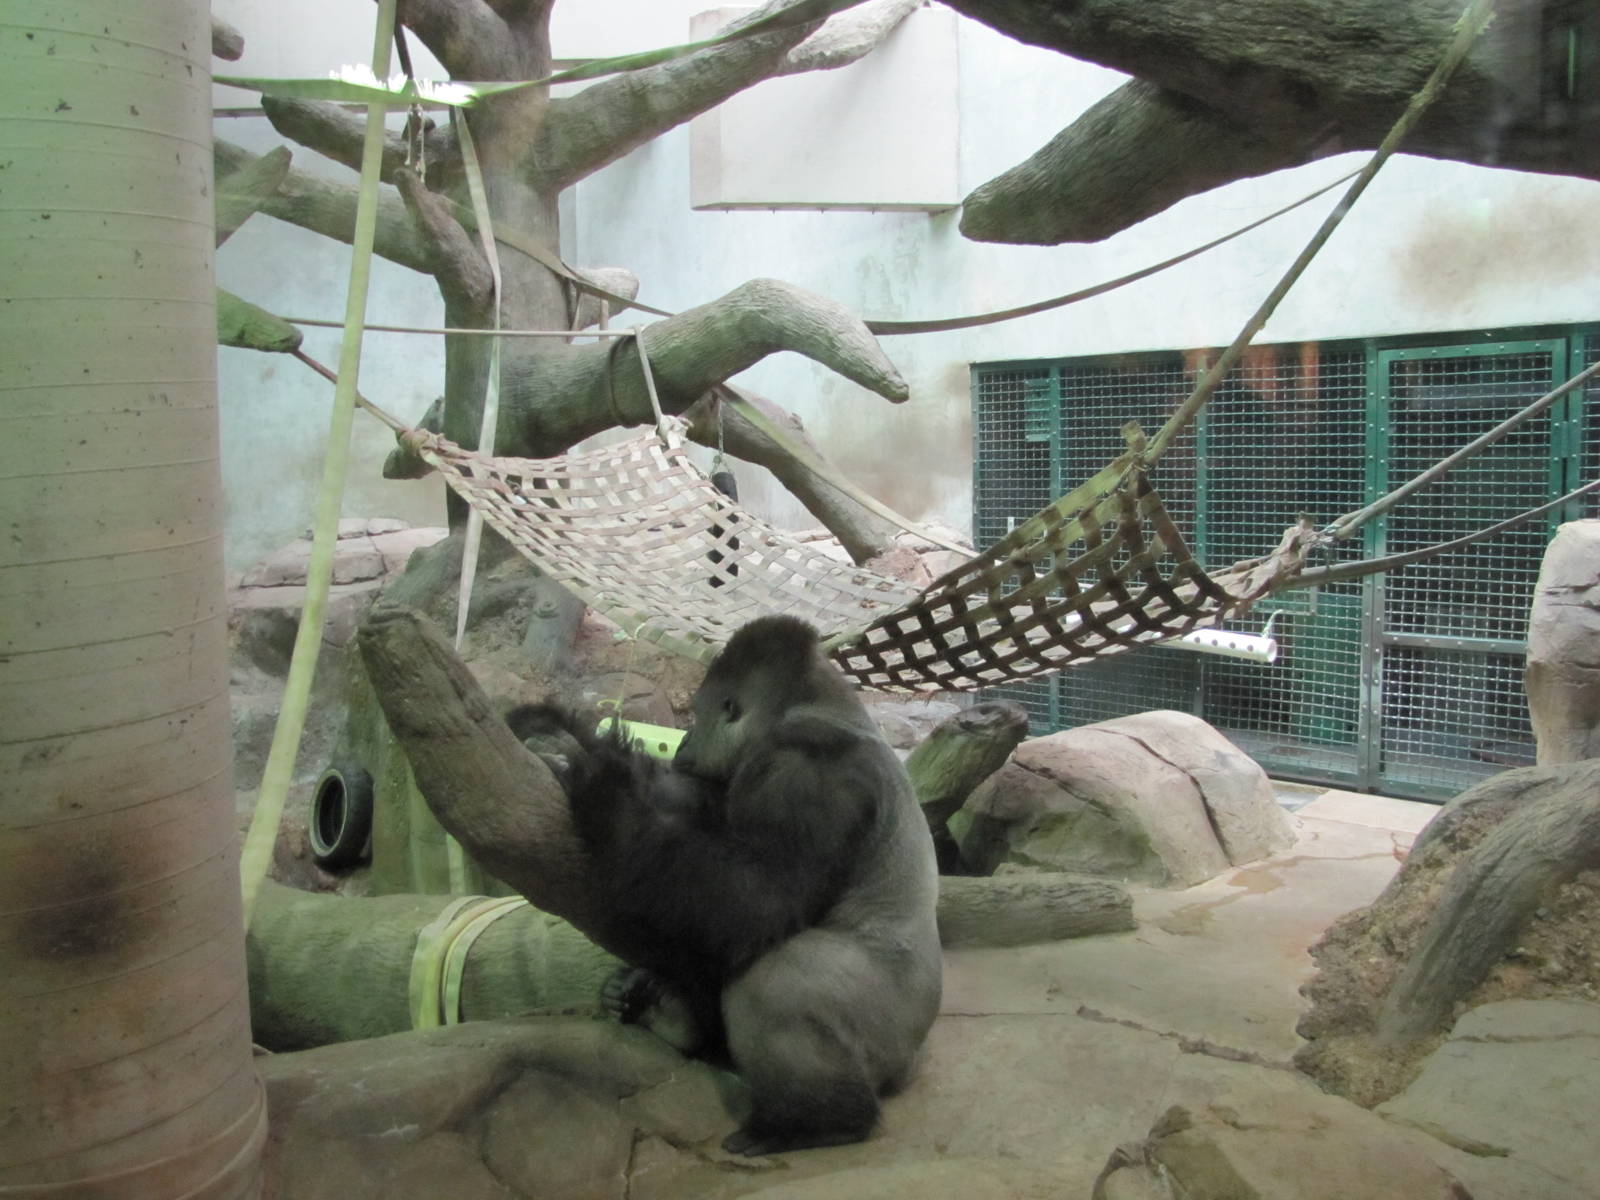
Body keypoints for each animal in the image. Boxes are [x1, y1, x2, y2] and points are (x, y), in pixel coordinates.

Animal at [511, 615, 942, 1156]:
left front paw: (609, 796)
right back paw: (674, 1019)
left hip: (889, 1032)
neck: (820, 706)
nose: (682, 743)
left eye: (698, 716)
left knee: (774, 984)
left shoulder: (805, 770)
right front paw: (550, 729)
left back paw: (817, 1121)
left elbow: (756, 903)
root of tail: (912, 1062)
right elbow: (689, 812)